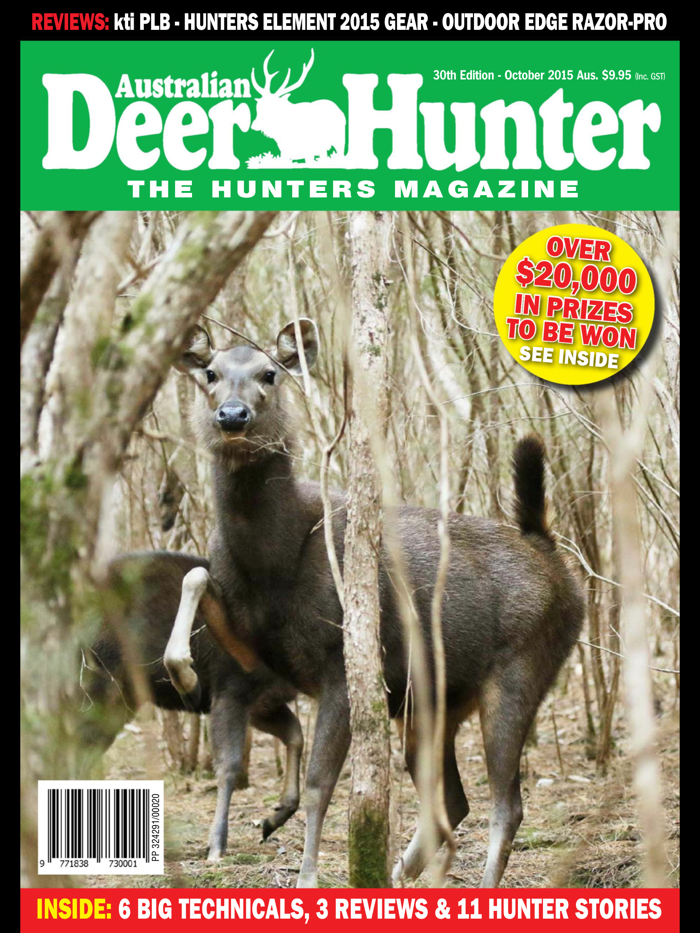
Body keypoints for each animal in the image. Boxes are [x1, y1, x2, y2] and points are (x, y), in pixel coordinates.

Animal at [79, 550, 302, 861]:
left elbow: (295, 735)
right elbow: (229, 764)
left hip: (120, 700)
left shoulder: (263, 704)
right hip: (96, 685)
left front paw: (273, 818)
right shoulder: (231, 690)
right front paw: (217, 844)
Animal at [164, 318, 585, 888]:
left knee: (506, 804)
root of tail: (554, 560)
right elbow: (195, 574)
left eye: (269, 373)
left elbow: (322, 784)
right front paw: (185, 675)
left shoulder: (344, 663)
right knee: (453, 801)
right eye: (210, 372)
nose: (232, 415)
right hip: (432, 702)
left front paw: (308, 876)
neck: (272, 559)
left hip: (522, 671)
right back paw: (401, 874)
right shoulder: (257, 649)